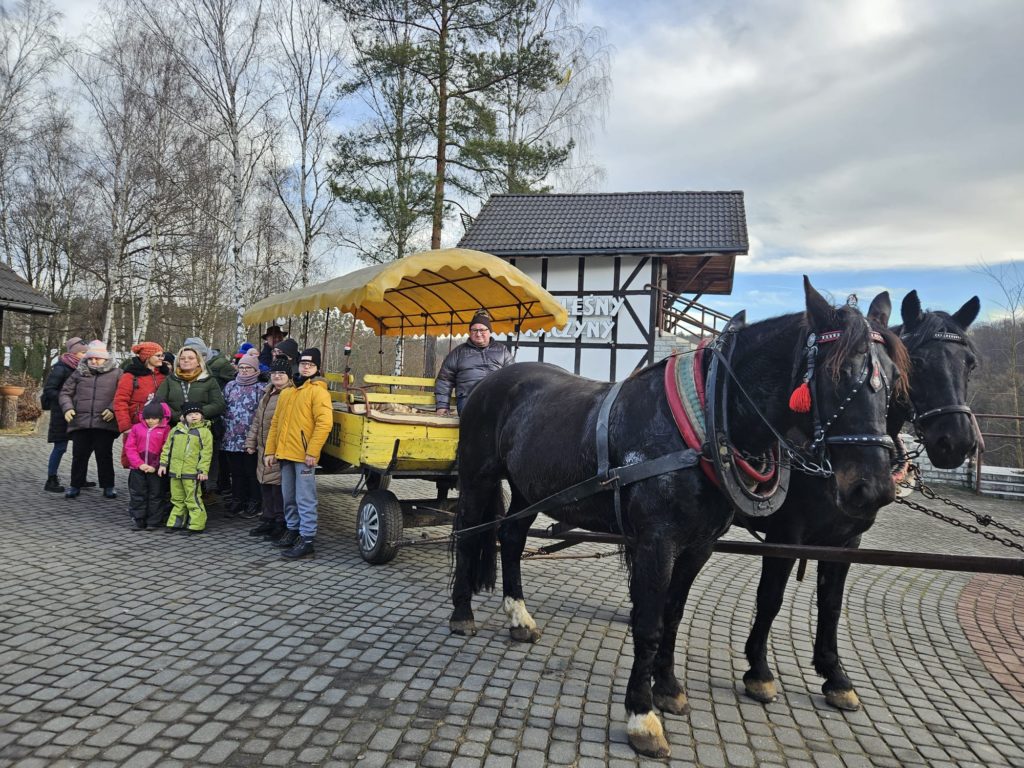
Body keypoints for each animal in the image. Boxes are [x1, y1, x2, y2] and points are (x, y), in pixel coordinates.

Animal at [452, 280, 909, 757]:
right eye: (840, 376)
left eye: (895, 382)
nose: (873, 488)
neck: (704, 421)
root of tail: (493, 380)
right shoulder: (659, 542)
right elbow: (650, 623)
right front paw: (642, 716)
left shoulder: (699, 545)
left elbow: (673, 614)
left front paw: (668, 689)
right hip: (478, 477)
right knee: (467, 534)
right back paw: (461, 612)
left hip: (530, 489)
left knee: (511, 537)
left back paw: (519, 617)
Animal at [741, 292, 978, 708]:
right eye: (917, 363)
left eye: (969, 363)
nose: (957, 441)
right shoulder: (786, 533)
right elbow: (770, 596)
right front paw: (759, 670)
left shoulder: (847, 539)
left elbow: (831, 603)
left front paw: (834, 674)